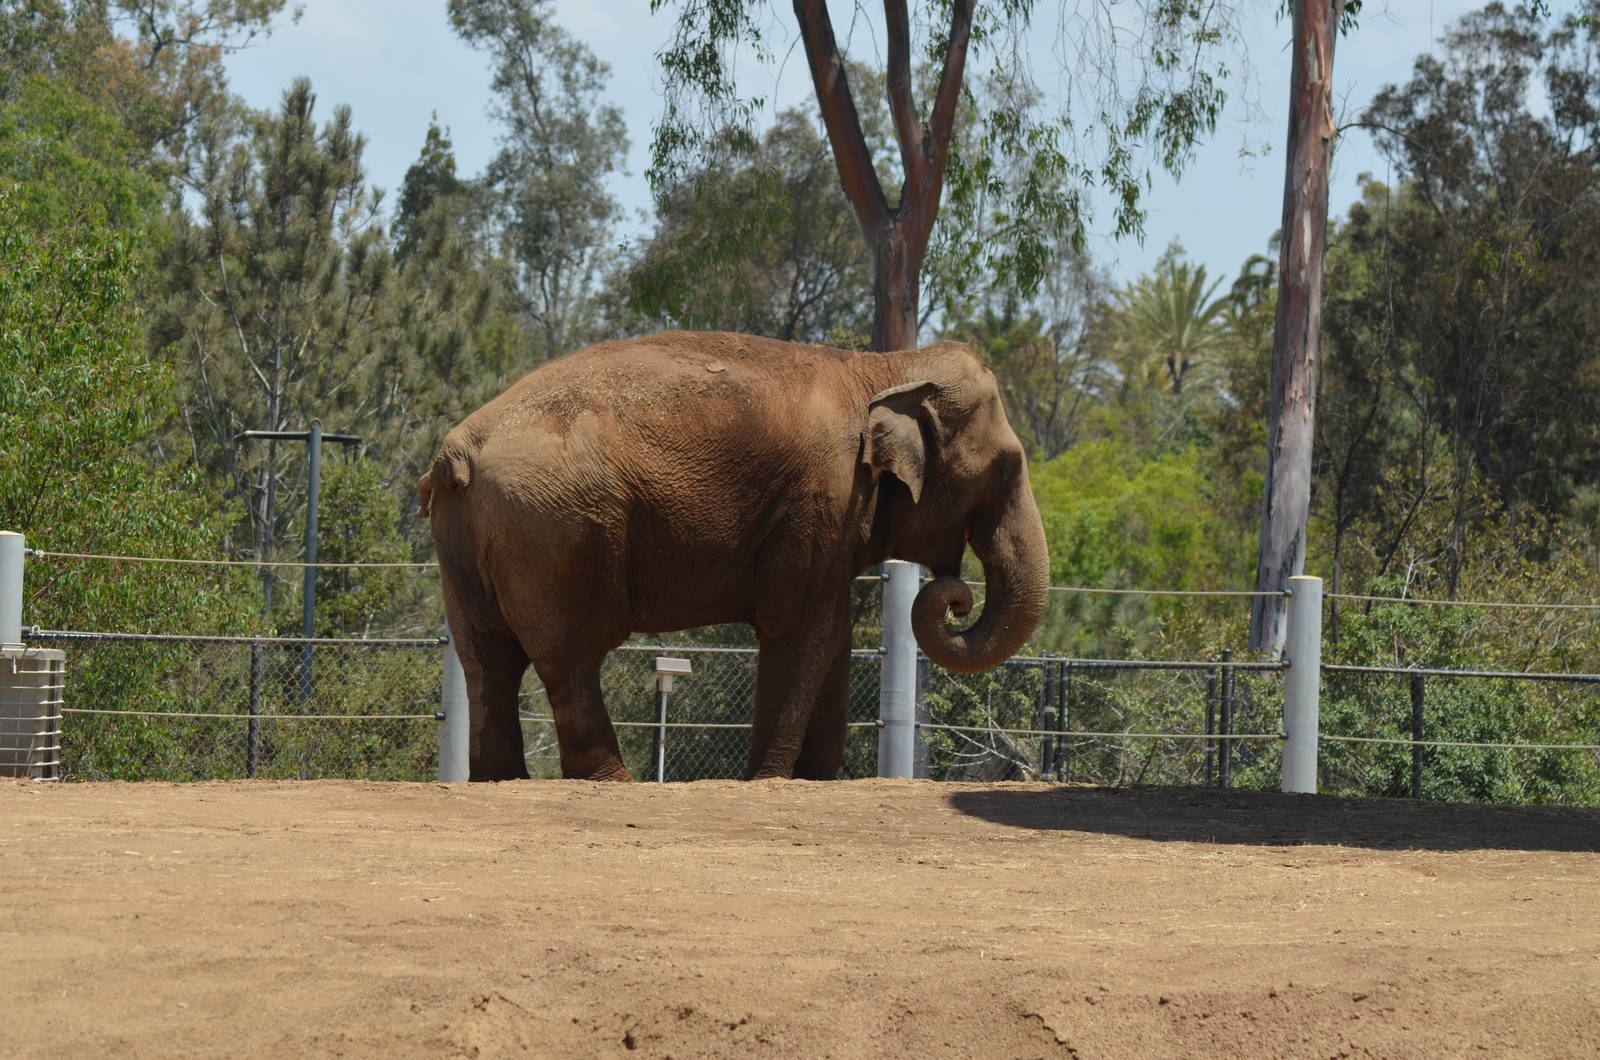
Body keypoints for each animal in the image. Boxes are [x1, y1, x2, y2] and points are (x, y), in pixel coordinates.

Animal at [420, 330, 1049, 781]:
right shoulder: (823, 494)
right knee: (569, 656)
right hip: (558, 529)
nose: (956, 598)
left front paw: (814, 780)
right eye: (1007, 468)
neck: (884, 366)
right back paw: (613, 781)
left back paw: (501, 780)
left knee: (487, 660)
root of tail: (458, 451)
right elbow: (799, 627)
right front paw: (770, 779)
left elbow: (834, 635)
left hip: (470, 541)